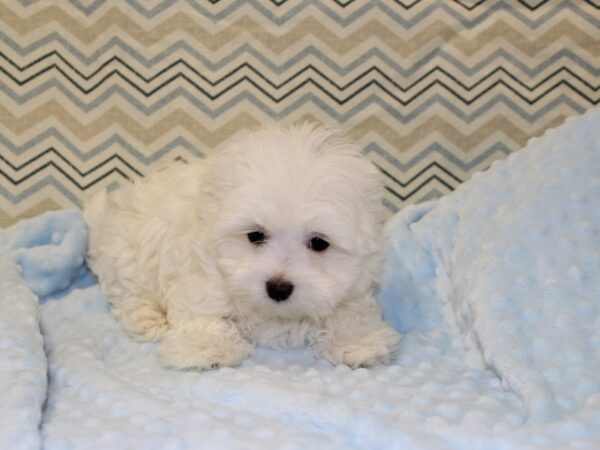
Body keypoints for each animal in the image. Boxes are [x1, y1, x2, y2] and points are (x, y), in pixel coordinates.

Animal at [84, 123, 400, 370]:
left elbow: (350, 310)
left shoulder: (358, 281)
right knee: (129, 294)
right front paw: (207, 347)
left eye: (319, 243)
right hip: (127, 255)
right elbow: (204, 308)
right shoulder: (200, 272)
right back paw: (148, 319)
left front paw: (358, 341)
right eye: (255, 235)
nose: (278, 288)